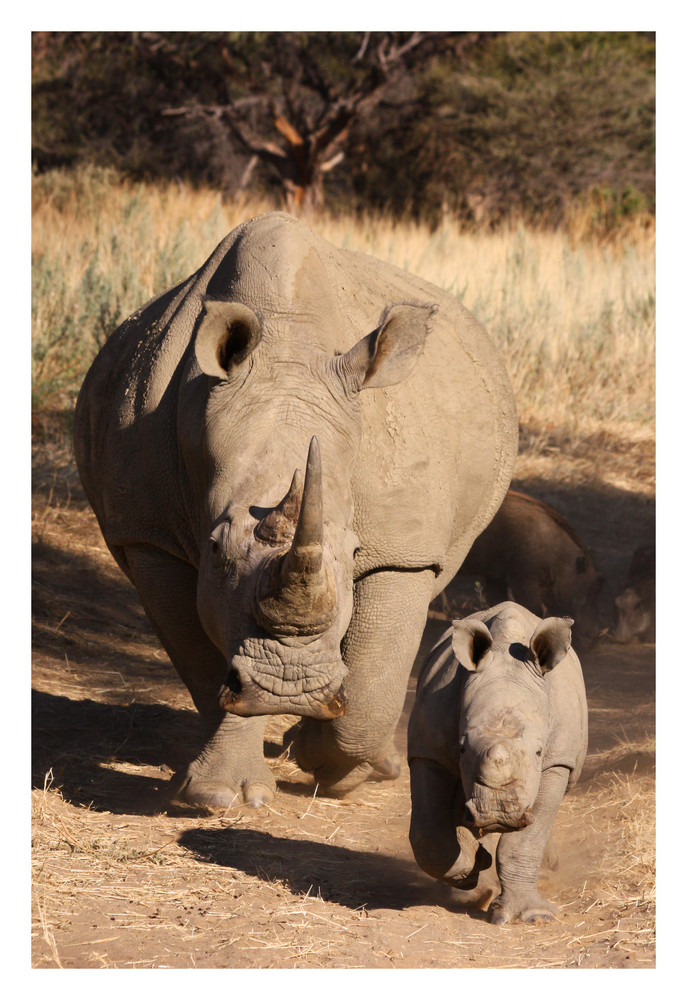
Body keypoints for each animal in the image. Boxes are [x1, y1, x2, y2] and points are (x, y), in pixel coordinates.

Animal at [406, 596, 588, 924]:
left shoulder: (558, 761)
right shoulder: (428, 750)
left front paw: (532, 917)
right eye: (462, 748)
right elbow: (428, 835)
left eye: (539, 752)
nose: (497, 813)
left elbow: (527, 838)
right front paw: (471, 868)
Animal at [454, 492, 604, 648]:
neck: (555, 556)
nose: (594, 638)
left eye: (601, 581)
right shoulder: (524, 583)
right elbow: (533, 610)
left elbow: (498, 605)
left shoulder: (495, 578)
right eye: (584, 592)